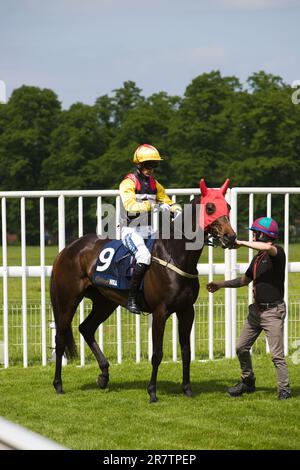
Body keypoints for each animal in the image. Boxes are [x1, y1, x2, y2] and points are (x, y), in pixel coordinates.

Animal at [50, 178, 236, 402]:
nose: (230, 237)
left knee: (86, 328)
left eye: (228, 207)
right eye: (210, 208)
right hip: (67, 300)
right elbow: (157, 354)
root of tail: (66, 250)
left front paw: (187, 389)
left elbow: (186, 351)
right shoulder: (160, 312)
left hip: (105, 302)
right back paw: (58, 384)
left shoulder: (186, 311)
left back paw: (104, 375)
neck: (175, 256)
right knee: (60, 338)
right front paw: (152, 391)